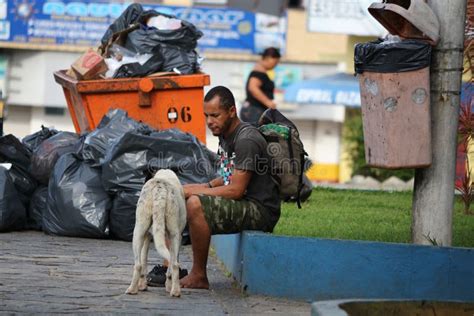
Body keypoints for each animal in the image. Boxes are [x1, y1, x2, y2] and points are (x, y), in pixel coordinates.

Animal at [125, 169, 186, 298]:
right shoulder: (176, 236)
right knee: (174, 264)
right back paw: (175, 291)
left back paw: (132, 289)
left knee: (138, 264)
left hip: (138, 231)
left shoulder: (146, 236)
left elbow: (144, 260)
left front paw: (142, 286)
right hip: (174, 234)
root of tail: (160, 187)